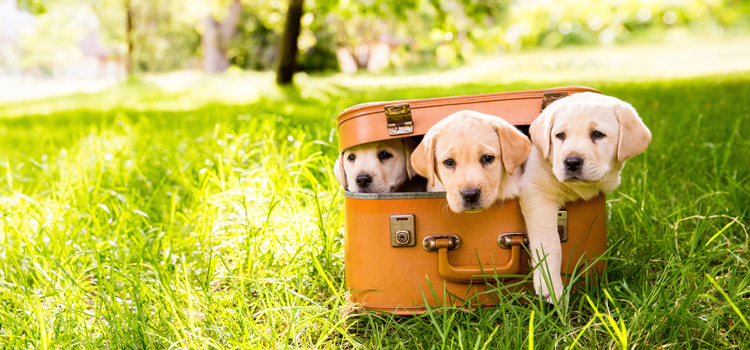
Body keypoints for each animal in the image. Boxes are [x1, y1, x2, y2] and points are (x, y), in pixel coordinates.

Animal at [524, 91, 652, 302]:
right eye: (560, 135)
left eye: (597, 134)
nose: (571, 162)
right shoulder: (535, 193)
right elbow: (550, 243)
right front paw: (550, 285)